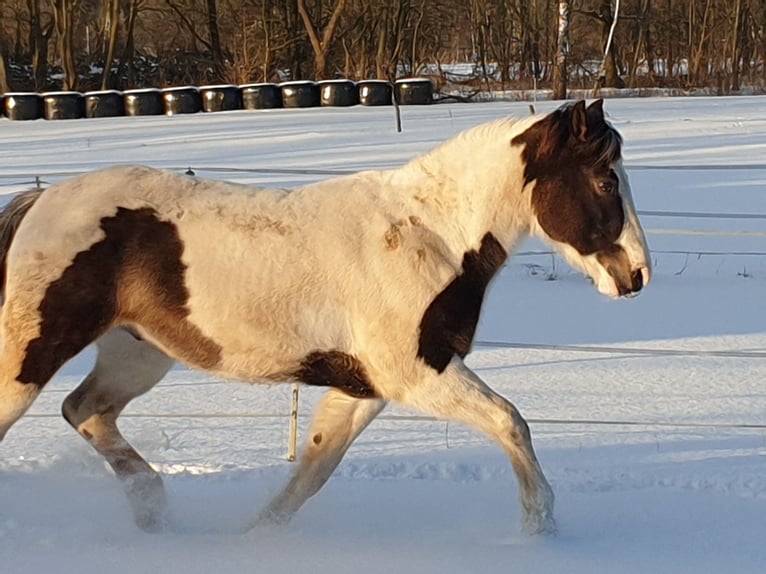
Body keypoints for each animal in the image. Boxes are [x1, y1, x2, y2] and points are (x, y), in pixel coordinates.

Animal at [0, 99, 652, 536]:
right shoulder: (418, 374)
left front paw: (254, 538)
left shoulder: (364, 387)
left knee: (85, 411)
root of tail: (40, 200)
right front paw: (541, 531)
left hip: (137, 354)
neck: (431, 236)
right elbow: (511, 422)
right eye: (604, 179)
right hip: (34, 354)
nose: (637, 276)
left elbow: (312, 471)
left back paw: (154, 511)